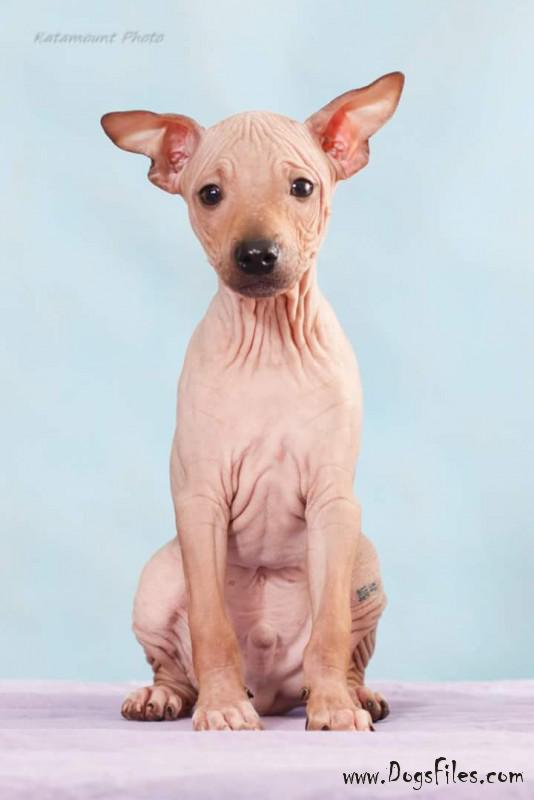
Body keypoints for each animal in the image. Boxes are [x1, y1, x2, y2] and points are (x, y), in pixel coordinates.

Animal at [101, 71, 404, 731]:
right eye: (210, 193)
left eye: (302, 187)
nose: (258, 254)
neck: (269, 343)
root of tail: (270, 689)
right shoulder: (200, 501)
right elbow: (211, 627)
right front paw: (220, 709)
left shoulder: (333, 502)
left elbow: (330, 631)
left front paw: (336, 709)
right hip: (158, 578)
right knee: (174, 662)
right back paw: (166, 697)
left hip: (364, 559)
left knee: (347, 650)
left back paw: (350, 694)